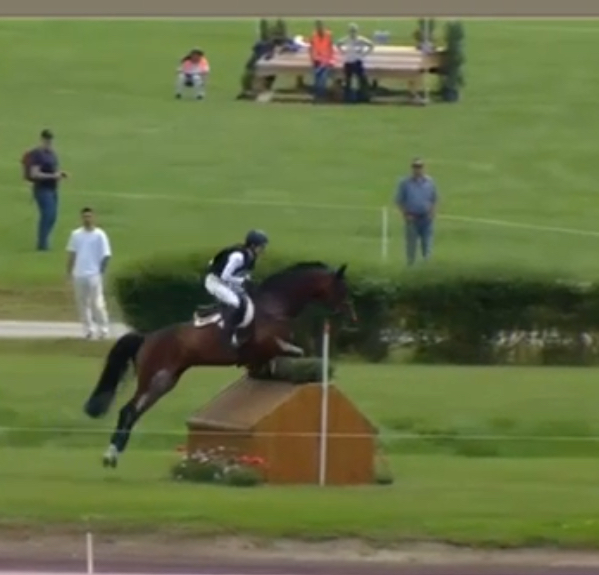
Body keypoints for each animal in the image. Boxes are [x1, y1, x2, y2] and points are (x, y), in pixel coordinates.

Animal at [83, 261, 355, 468]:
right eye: (342, 288)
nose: (352, 317)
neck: (275, 305)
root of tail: (147, 337)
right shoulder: (268, 345)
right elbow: (295, 352)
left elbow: (278, 360)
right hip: (154, 376)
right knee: (128, 410)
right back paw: (111, 455)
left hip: (166, 381)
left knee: (134, 411)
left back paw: (113, 454)